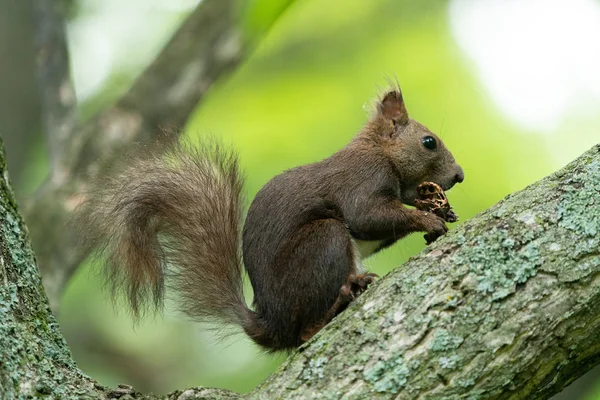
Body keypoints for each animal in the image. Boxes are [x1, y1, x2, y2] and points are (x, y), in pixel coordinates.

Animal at [75, 85, 466, 350]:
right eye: (429, 142)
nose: (460, 175)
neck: (379, 151)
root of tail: (270, 323)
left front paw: (436, 207)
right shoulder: (362, 179)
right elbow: (366, 217)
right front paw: (428, 218)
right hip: (322, 243)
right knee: (304, 332)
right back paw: (341, 299)